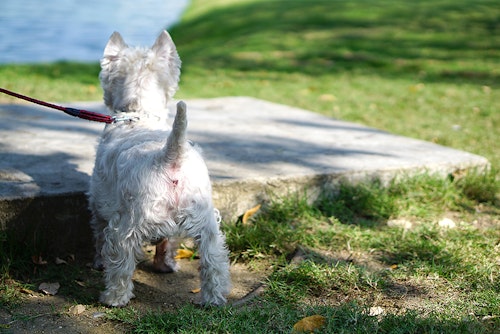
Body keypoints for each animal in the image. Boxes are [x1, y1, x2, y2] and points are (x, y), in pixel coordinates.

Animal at [88, 32, 232, 308]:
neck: (138, 112)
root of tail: (171, 156)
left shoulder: (100, 203)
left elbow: (99, 234)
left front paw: (98, 262)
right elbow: (168, 242)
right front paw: (165, 265)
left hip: (128, 223)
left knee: (121, 263)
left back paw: (113, 298)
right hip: (207, 224)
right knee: (214, 262)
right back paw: (213, 299)